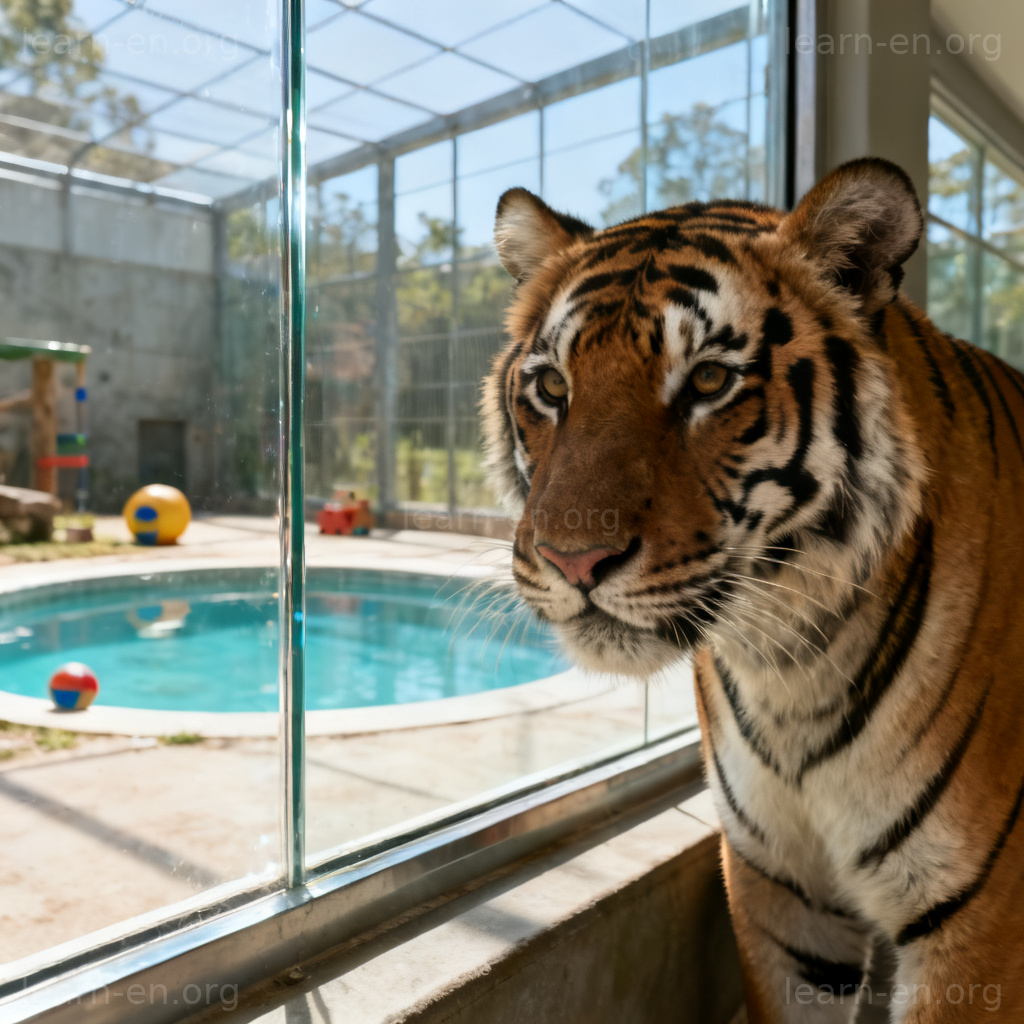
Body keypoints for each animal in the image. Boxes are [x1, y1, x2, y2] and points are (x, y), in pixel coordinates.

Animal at [480, 158, 1024, 1022]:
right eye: (553, 388)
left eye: (708, 380)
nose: (574, 560)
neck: (792, 668)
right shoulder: (778, 884)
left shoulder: (980, 920)